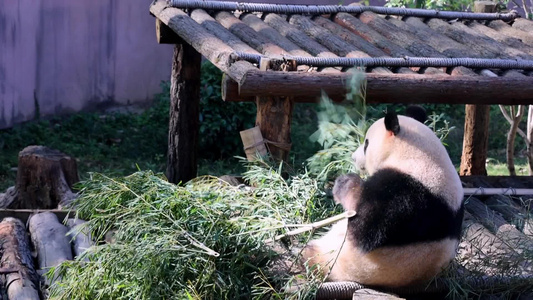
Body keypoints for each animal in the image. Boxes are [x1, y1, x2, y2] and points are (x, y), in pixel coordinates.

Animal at [302, 109, 464, 286]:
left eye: (366, 144)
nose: (353, 157)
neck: (418, 154)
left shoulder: (407, 195)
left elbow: (366, 230)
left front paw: (345, 183)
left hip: (343, 262)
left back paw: (305, 255)